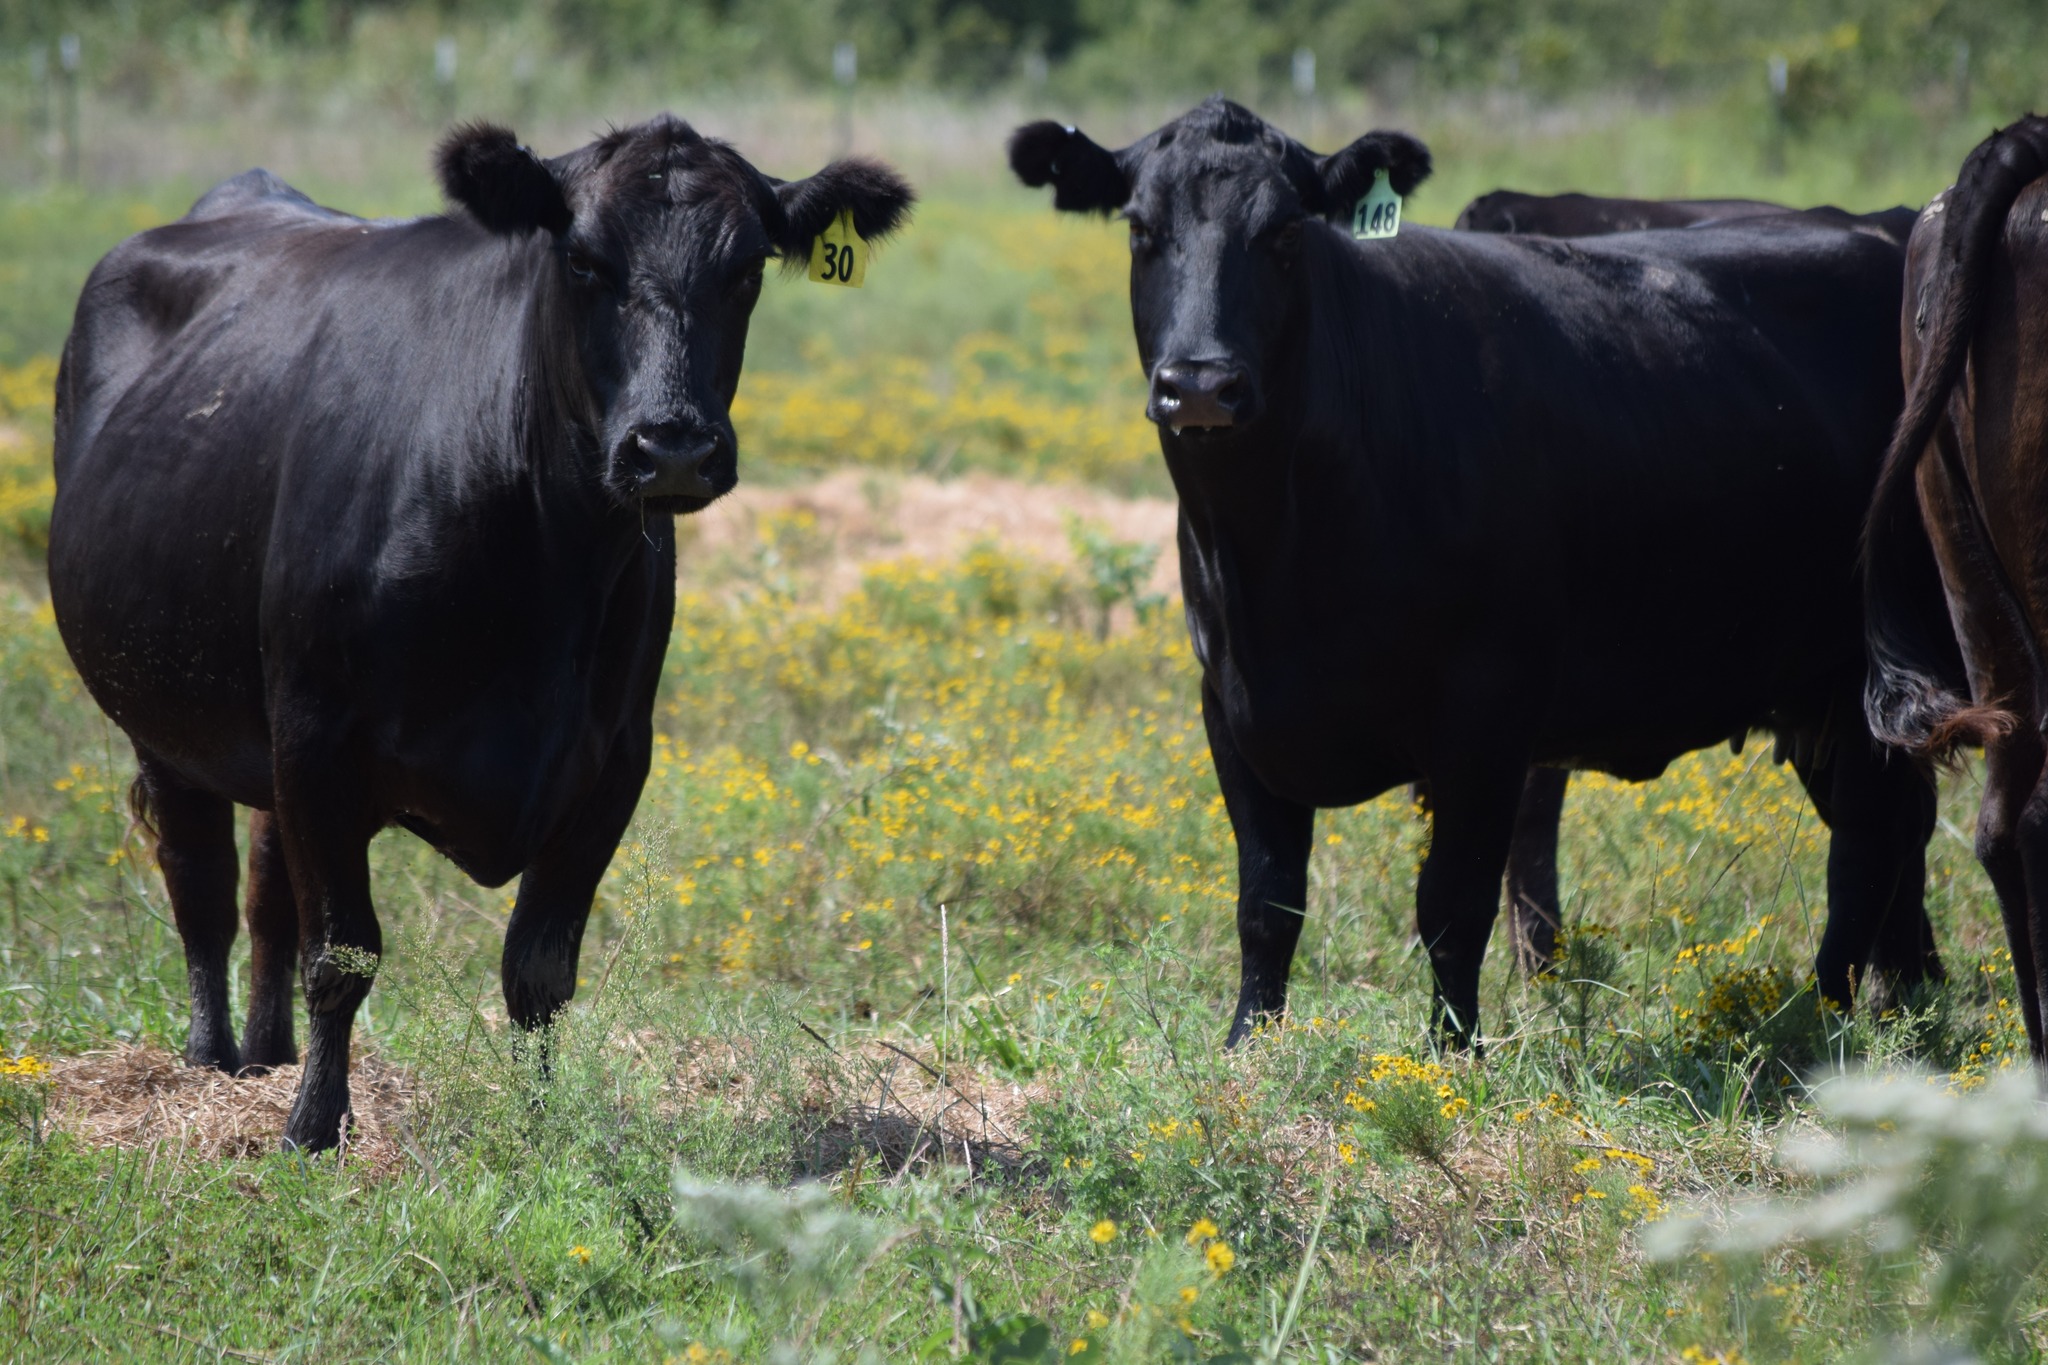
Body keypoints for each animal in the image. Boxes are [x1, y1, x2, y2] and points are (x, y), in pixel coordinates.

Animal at [46, 114, 913, 1154]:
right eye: (582, 259)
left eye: (746, 268)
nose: (673, 447)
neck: (541, 572)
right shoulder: (318, 733)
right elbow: (343, 952)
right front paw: (314, 1128)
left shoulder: (613, 758)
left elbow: (537, 967)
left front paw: (535, 1125)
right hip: (165, 715)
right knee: (203, 888)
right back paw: (211, 1062)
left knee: (262, 892)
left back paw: (266, 1056)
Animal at [1007, 98, 1949, 1055]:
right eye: (1140, 229)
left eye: (1283, 232)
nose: (1200, 383)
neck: (1279, 556)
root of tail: (1880, 224)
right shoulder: (1230, 704)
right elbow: (1267, 898)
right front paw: (1248, 1046)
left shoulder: (1487, 713)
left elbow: (1452, 905)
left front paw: (1449, 1055)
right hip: (1822, 690)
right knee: (1890, 833)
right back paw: (1897, 1002)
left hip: (1866, 670)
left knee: (1871, 840)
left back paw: (1823, 1017)